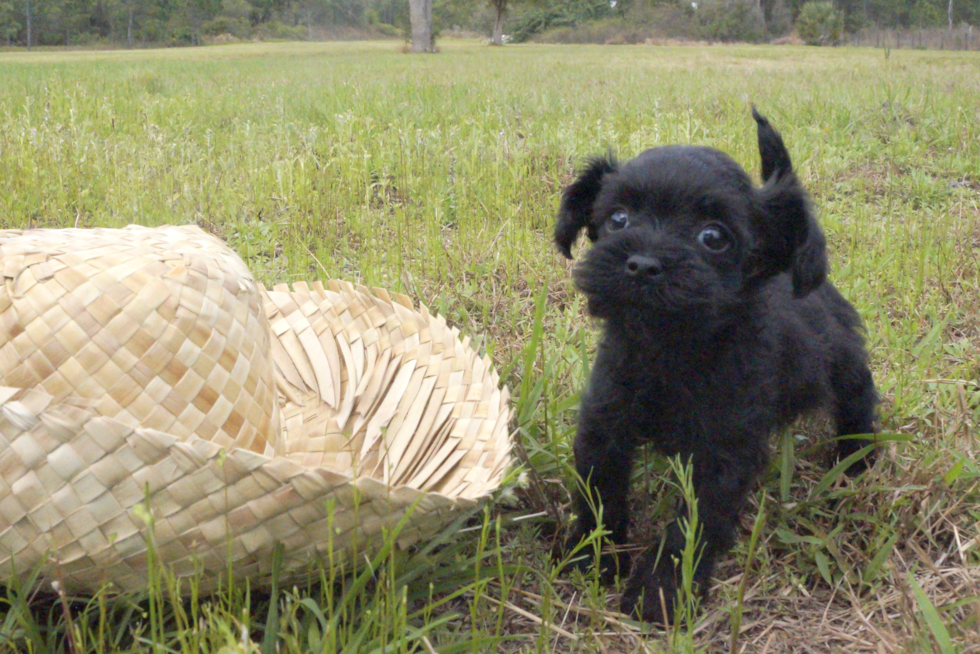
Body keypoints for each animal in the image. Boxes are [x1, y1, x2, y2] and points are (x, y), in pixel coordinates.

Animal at [556, 111, 876, 624]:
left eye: (713, 236)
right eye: (618, 218)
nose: (642, 263)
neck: (672, 349)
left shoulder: (722, 452)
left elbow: (694, 525)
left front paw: (661, 590)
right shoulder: (604, 423)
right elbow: (599, 495)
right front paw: (592, 557)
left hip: (843, 362)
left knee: (858, 398)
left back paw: (857, 460)